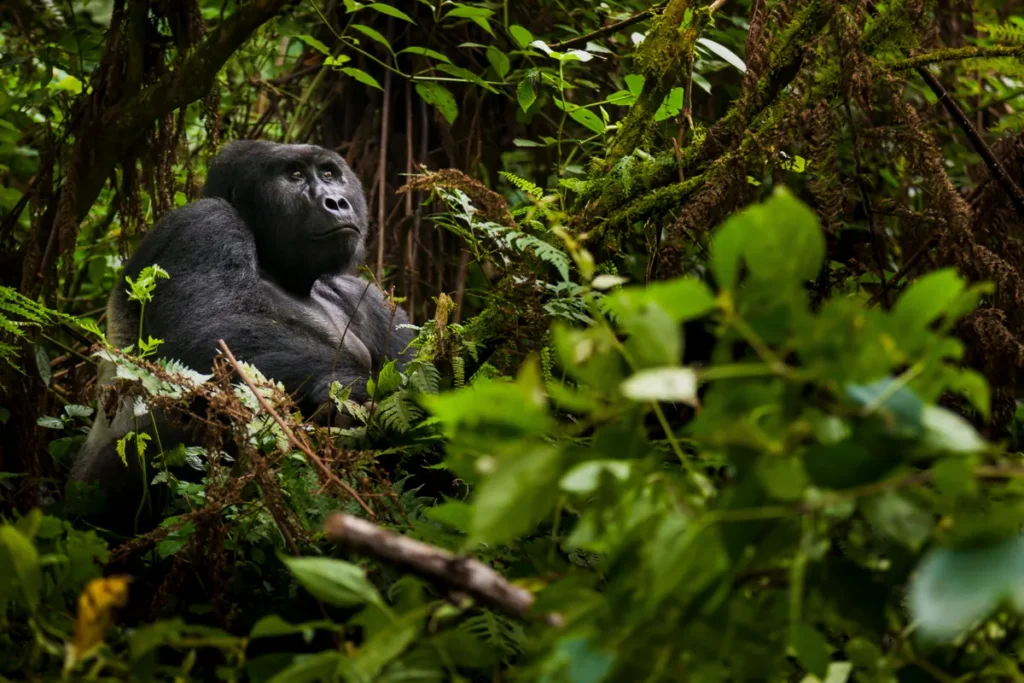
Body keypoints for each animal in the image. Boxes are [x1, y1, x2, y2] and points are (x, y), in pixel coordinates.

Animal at [69, 140, 415, 524]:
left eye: (329, 173)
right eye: (295, 175)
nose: (336, 201)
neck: (281, 270)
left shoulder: (364, 294)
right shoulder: (205, 222)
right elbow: (203, 335)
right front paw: (347, 386)